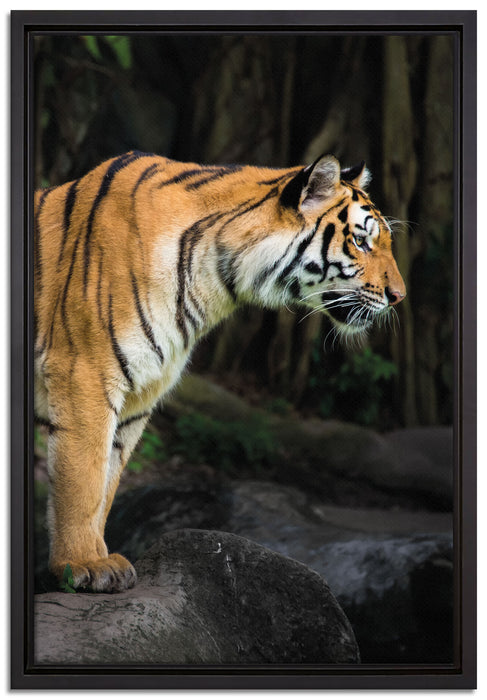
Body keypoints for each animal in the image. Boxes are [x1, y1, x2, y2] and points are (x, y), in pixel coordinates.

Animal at [34, 150, 406, 593]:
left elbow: (106, 482)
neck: (215, 283)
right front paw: (85, 564)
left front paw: (100, 557)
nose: (399, 296)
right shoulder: (84, 373)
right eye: (361, 241)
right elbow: (83, 479)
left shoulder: (139, 393)